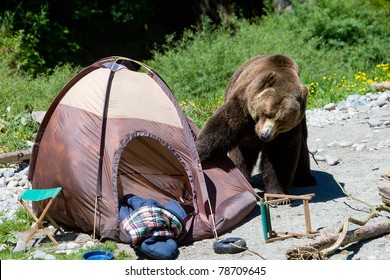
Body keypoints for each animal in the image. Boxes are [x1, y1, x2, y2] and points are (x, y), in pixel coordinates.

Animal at [197, 54, 316, 195]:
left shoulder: (286, 132)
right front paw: (199, 152)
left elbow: (279, 154)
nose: (265, 135)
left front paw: (276, 193)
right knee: (241, 154)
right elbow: (222, 127)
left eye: (281, 120)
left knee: (302, 148)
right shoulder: (244, 106)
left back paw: (305, 179)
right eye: (266, 113)